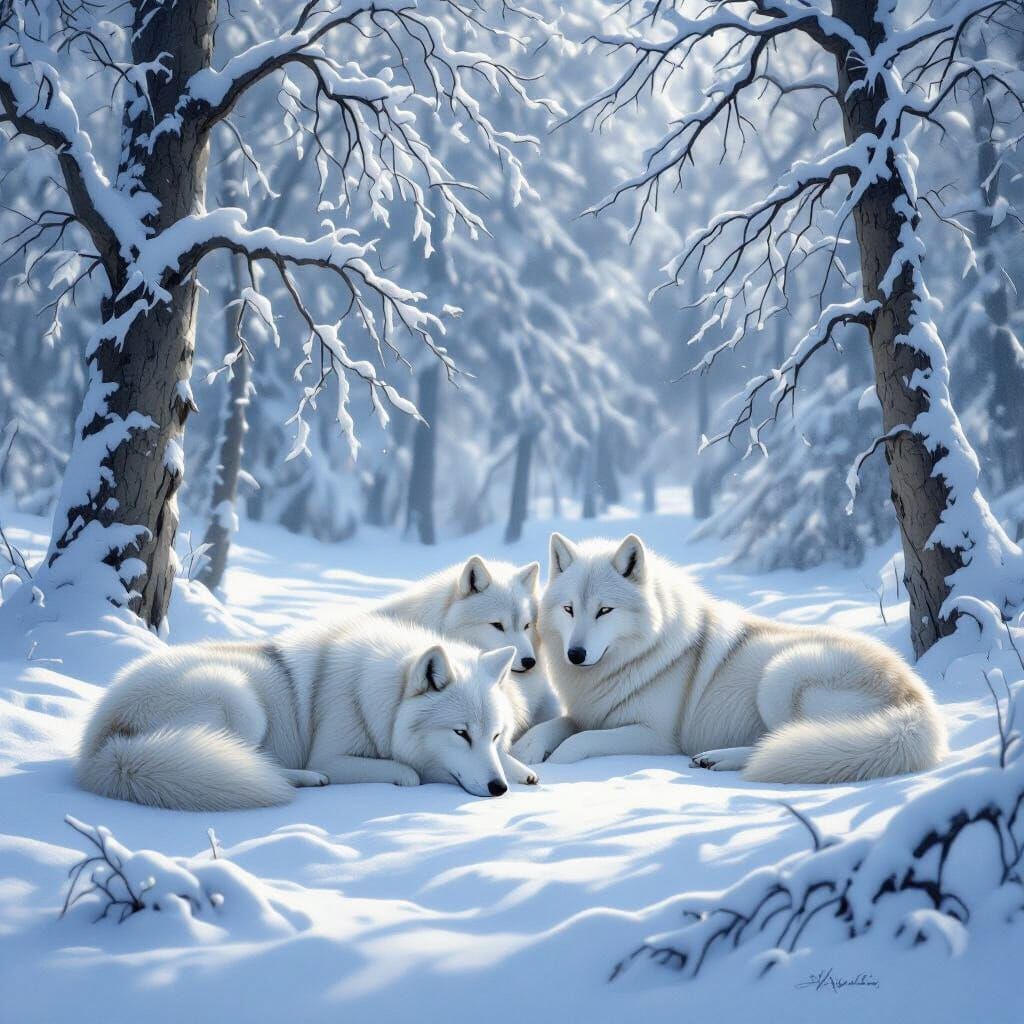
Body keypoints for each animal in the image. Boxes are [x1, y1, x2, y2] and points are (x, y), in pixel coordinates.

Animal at [78, 614, 538, 811]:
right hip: (241, 700)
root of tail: (100, 750)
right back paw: (302, 779)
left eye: (495, 735)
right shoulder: (333, 754)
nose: (498, 789)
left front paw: (520, 769)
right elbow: (409, 771)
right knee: (250, 762)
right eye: (461, 734)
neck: (379, 697)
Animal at [511, 533, 947, 784]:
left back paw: (717, 759)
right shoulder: (590, 711)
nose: (575, 654)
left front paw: (558, 761)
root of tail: (918, 701)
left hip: (781, 675)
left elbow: (580, 741)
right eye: (569, 609)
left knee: (786, 742)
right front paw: (528, 749)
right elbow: (558, 725)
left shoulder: (655, 736)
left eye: (604, 611)